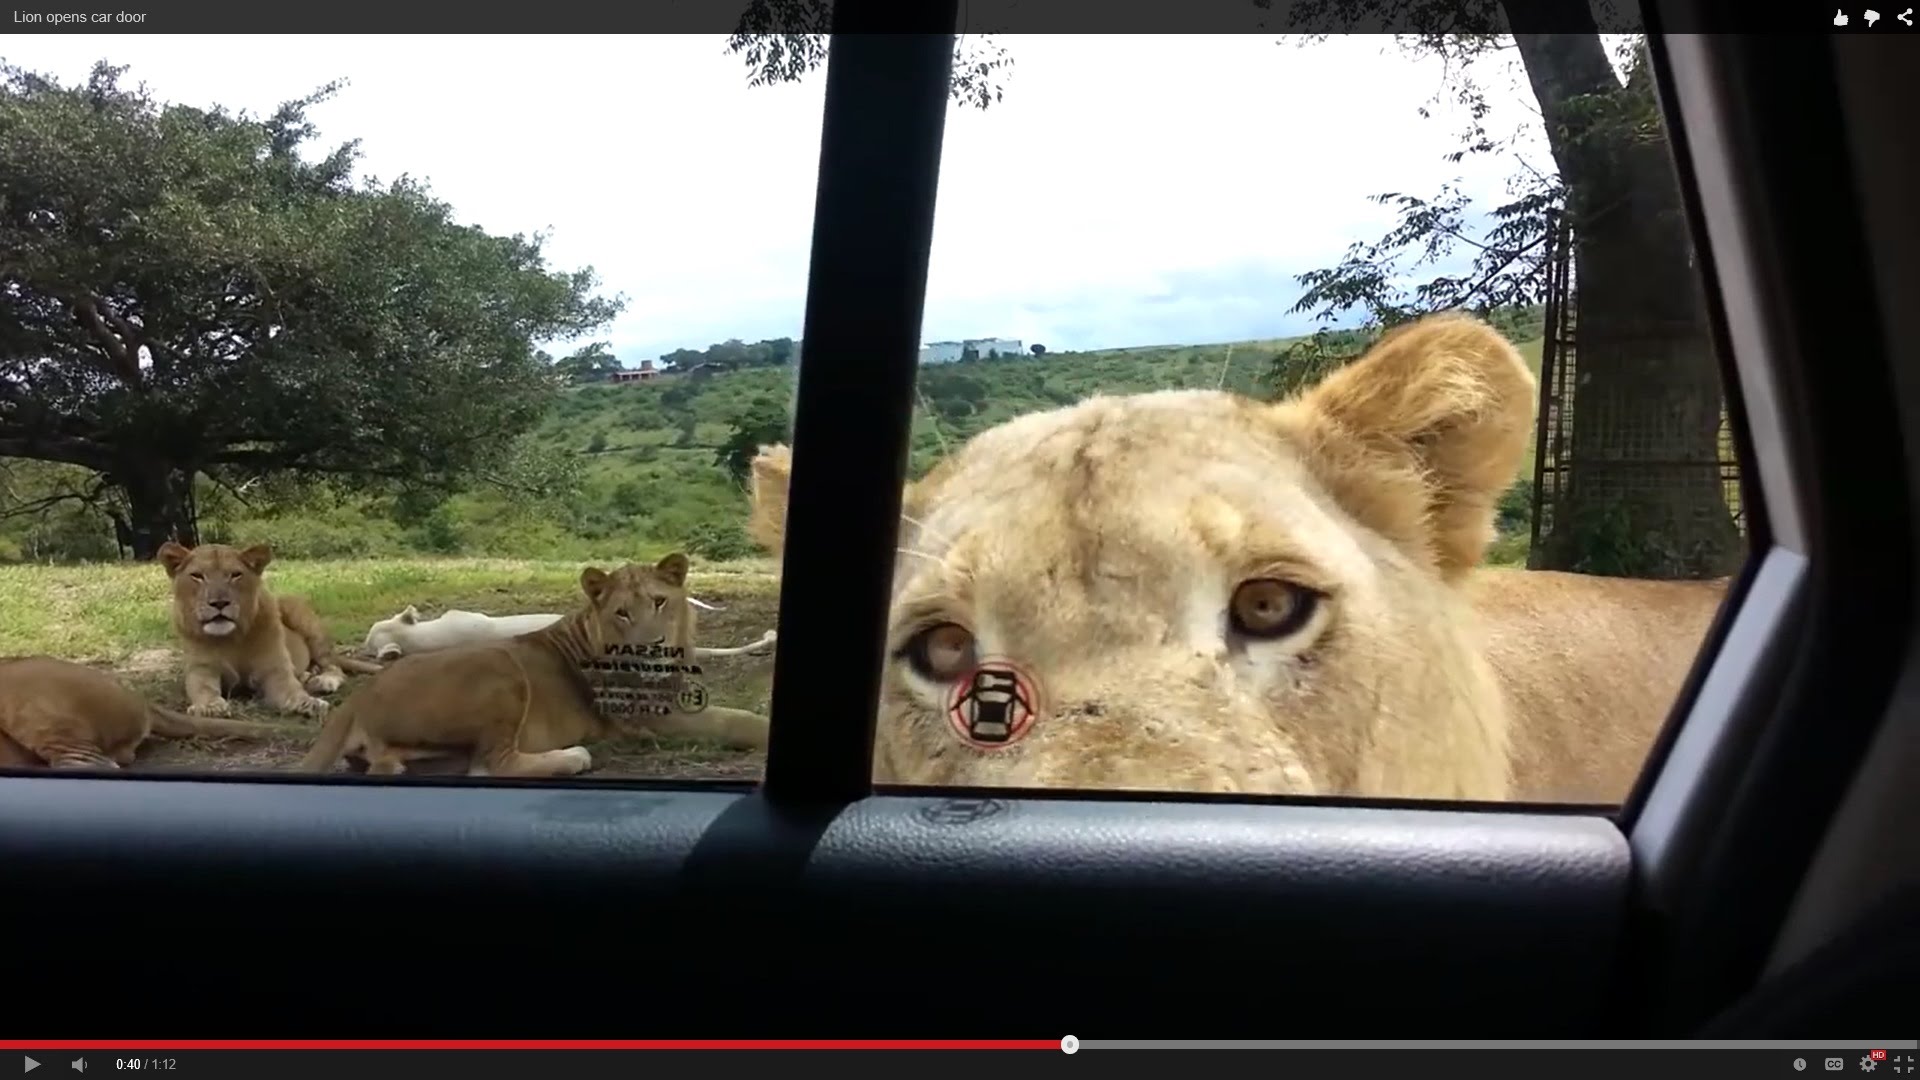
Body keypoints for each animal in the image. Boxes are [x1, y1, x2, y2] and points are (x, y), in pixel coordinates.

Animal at [159, 534, 384, 718]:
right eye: (197, 576)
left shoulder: (275, 670)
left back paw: (322, 681)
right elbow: (203, 690)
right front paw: (209, 707)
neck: (230, 639)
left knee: (333, 666)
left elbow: (292, 690)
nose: (219, 603)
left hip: (298, 612)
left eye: (235, 575)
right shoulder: (201, 670)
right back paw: (307, 675)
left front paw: (310, 703)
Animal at [297, 553, 771, 772]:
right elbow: (737, 720)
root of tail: (357, 700)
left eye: (659, 602)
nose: (650, 648)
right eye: (621, 613)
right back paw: (574, 756)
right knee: (491, 764)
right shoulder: (651, 719)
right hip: (501, 670)